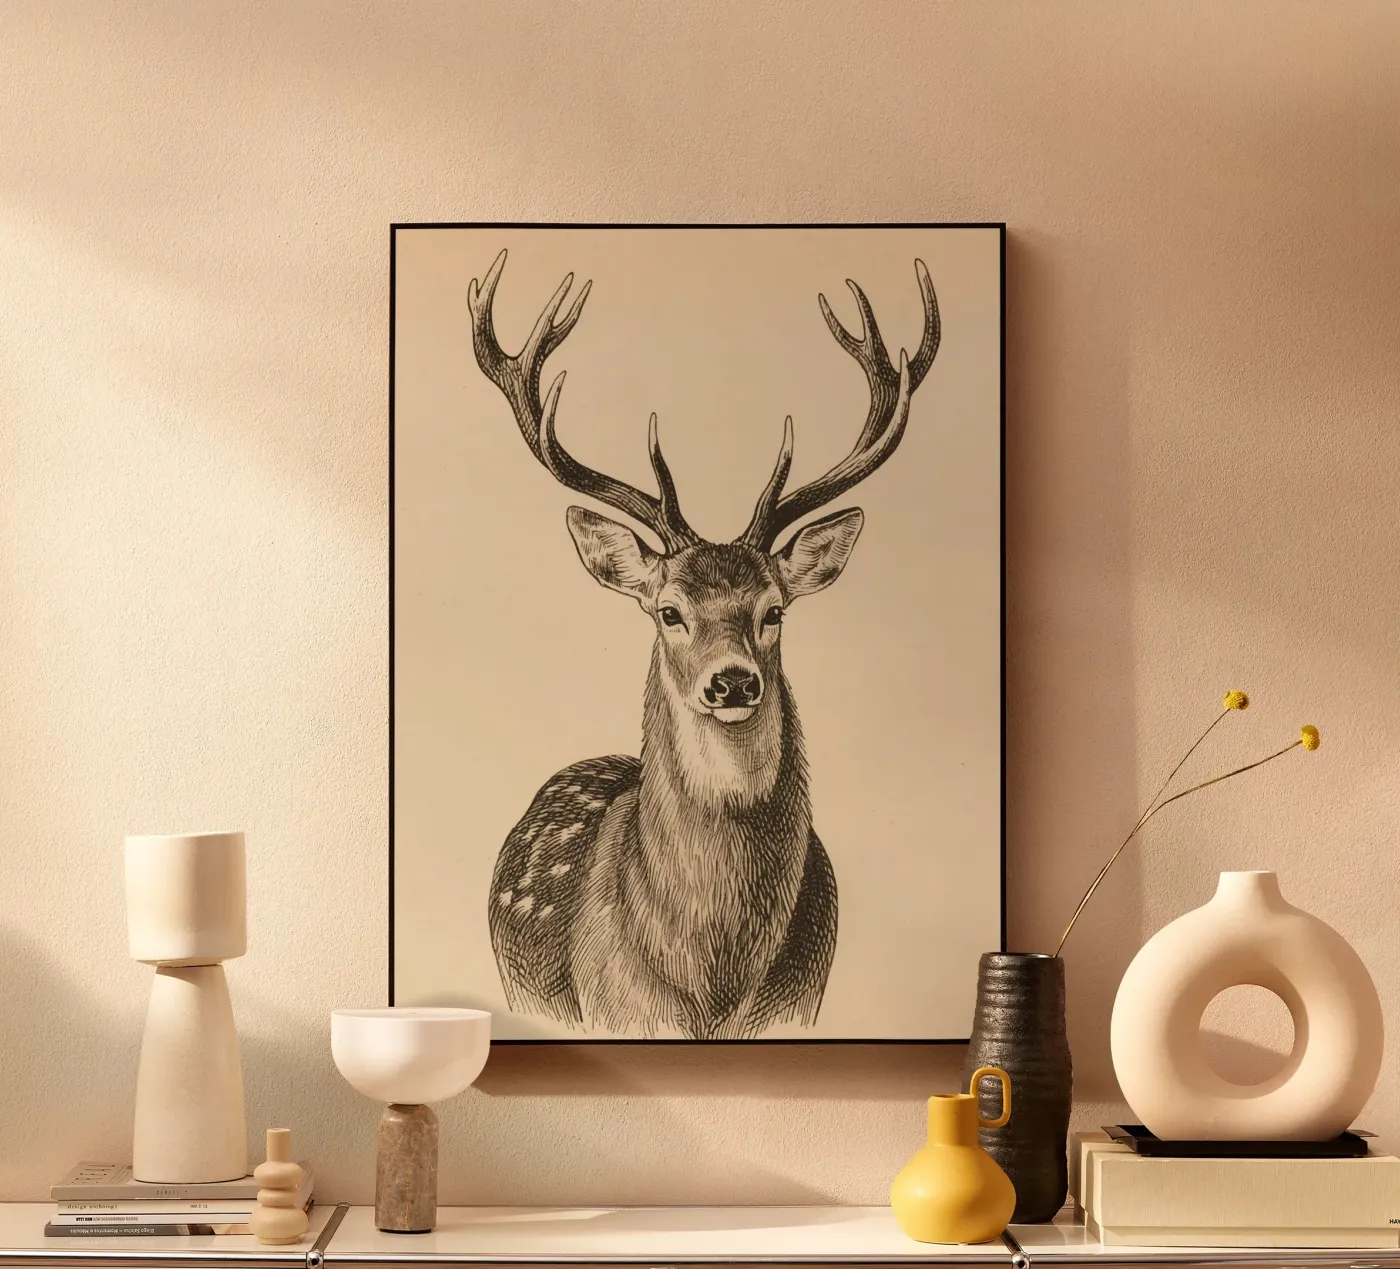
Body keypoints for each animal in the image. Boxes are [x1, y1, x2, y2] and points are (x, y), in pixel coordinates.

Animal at [467, 248, 940, 1039]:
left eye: (775, 610)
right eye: (669, 611)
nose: (733, 682)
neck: (712, 986)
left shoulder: (803, 1001)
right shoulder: (614, 1013)